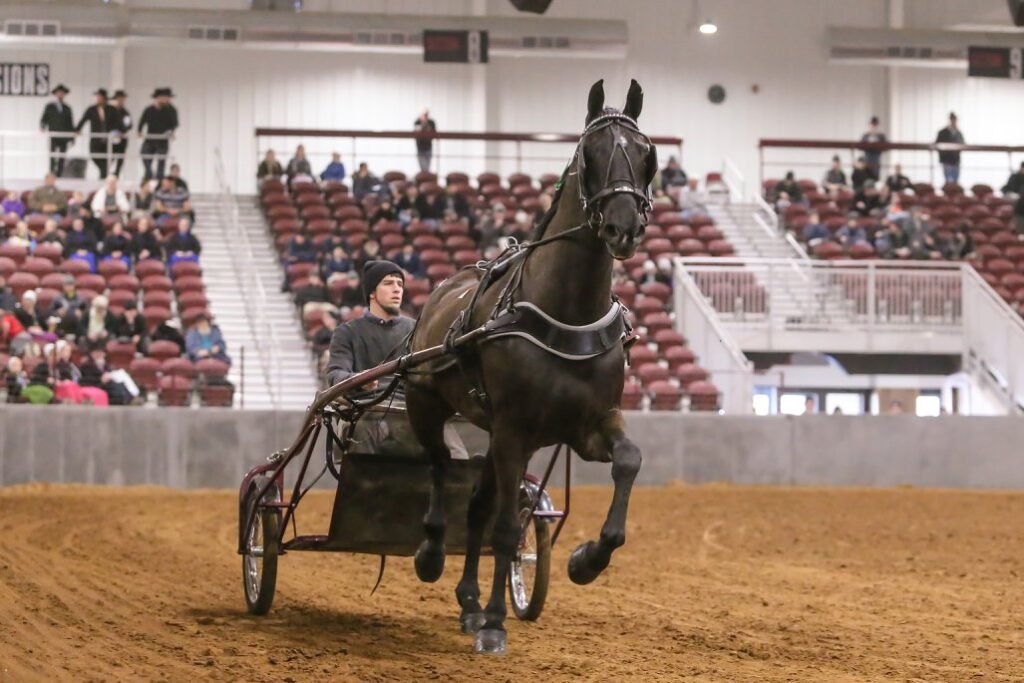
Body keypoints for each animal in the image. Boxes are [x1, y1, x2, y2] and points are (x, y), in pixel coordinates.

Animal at [404, 79, 657, 654]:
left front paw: (586, 560)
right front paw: (498, 622)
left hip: (500, 434)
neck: (568, 312)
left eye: (646, 154)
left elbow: (628, 461)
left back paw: (469, 602)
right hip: (429, 404)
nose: (624, 228)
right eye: (591, 154)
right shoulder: (515, 429)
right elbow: (503, 528)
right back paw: (433, 556)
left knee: (477, 505)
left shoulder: (587, 425)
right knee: (439, 467)